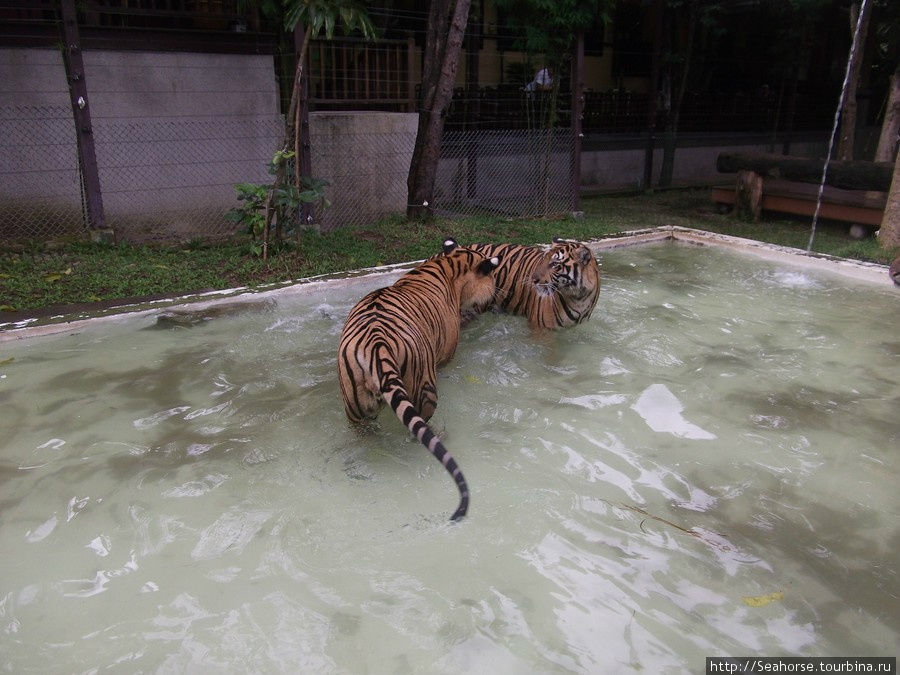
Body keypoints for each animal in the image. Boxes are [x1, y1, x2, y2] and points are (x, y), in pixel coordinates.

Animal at [336, 238, 500, 524]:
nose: (494, 295)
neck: (449, 263)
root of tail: (377, 345)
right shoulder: (446, 354)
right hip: (425, 389)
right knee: (420, 427)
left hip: (355, 406)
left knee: (366, 433)